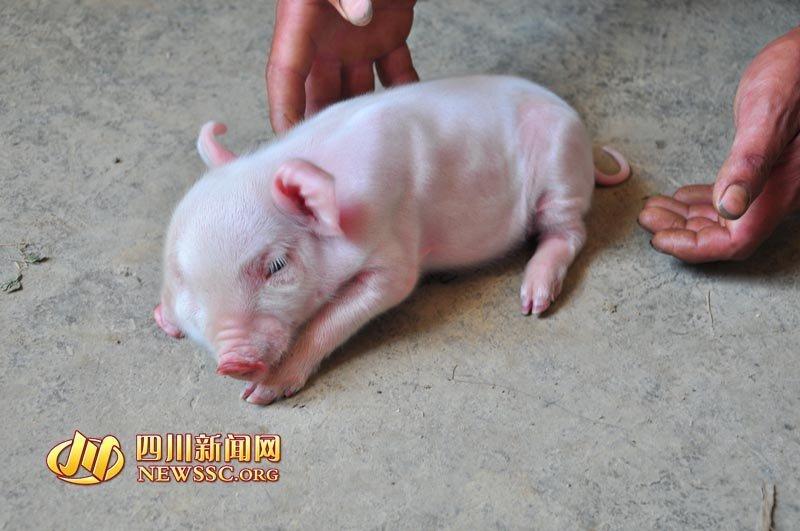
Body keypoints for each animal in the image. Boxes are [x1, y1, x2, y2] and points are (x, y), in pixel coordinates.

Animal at [154, 75, 630, 405]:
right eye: (184, 281)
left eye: (276, 266)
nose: (233, 363)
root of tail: (578, 128)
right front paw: (164, 318)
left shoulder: (393, 251)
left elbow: (337, 318)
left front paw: (258, 395)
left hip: (560, 171)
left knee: (570, 232)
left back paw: (532, 300)